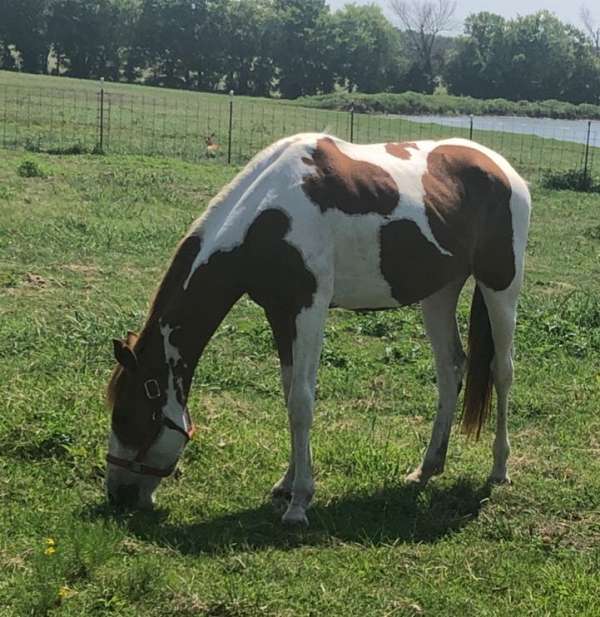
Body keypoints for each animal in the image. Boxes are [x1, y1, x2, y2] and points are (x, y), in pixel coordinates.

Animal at [106, 132, 528, 524]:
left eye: (127, 416)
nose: (117, 496)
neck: (269, 214)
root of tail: (504, 169)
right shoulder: (279, 313)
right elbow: (289, 394)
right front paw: (287, 483)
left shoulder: (309, 309)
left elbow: (302, 402)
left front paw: (299, 503)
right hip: (439, 292)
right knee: (450, 369)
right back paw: (428, 467)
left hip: (501, 285)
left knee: (502, 371)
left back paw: (499, 469)